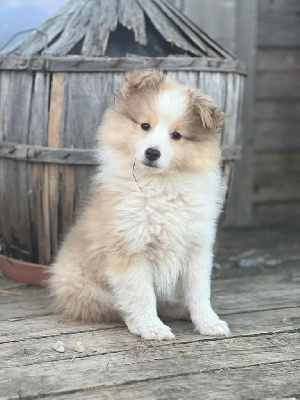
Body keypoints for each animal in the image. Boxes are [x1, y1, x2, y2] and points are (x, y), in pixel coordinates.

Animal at [49, 69, 229, 340]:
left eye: (176, 135)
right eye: (145, 126)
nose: (152, 153)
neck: (159, 187)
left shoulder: (196, 249)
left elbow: (199, 292)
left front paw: (209, 323)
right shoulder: (129, 250)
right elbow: (141, 296)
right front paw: (151, 328)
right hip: (88, 289)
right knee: (118, 307)